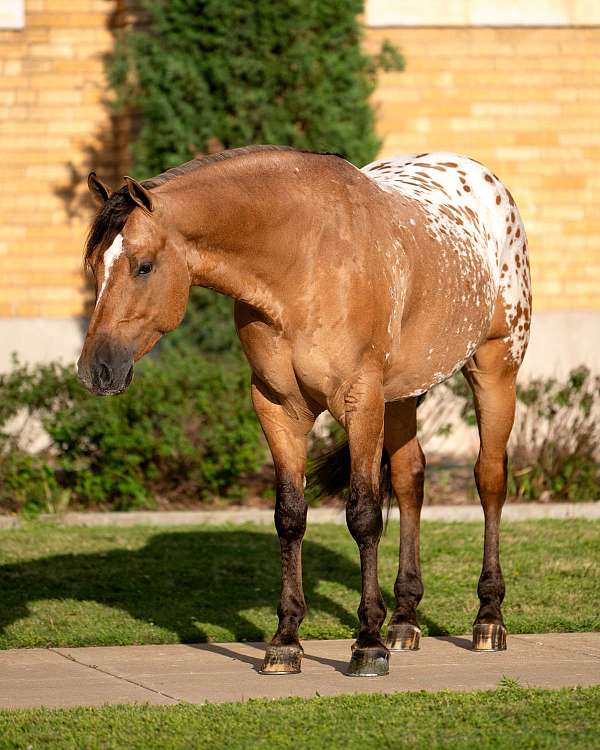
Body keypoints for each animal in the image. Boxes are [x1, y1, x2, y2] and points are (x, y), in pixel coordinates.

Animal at [78, 145, 531, 677]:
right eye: (93, 267)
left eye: (144, 266)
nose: (97, 370)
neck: (302, 262)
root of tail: (486, 179)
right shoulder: (278, 407)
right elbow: (290, 515)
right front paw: (285, 641)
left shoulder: (361, 400)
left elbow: (363, 515)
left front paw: (367, 643)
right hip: (400, 395)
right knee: (409, 481)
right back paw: (404, 621)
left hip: (495, 368)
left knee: (489, 480)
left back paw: (488, 620)